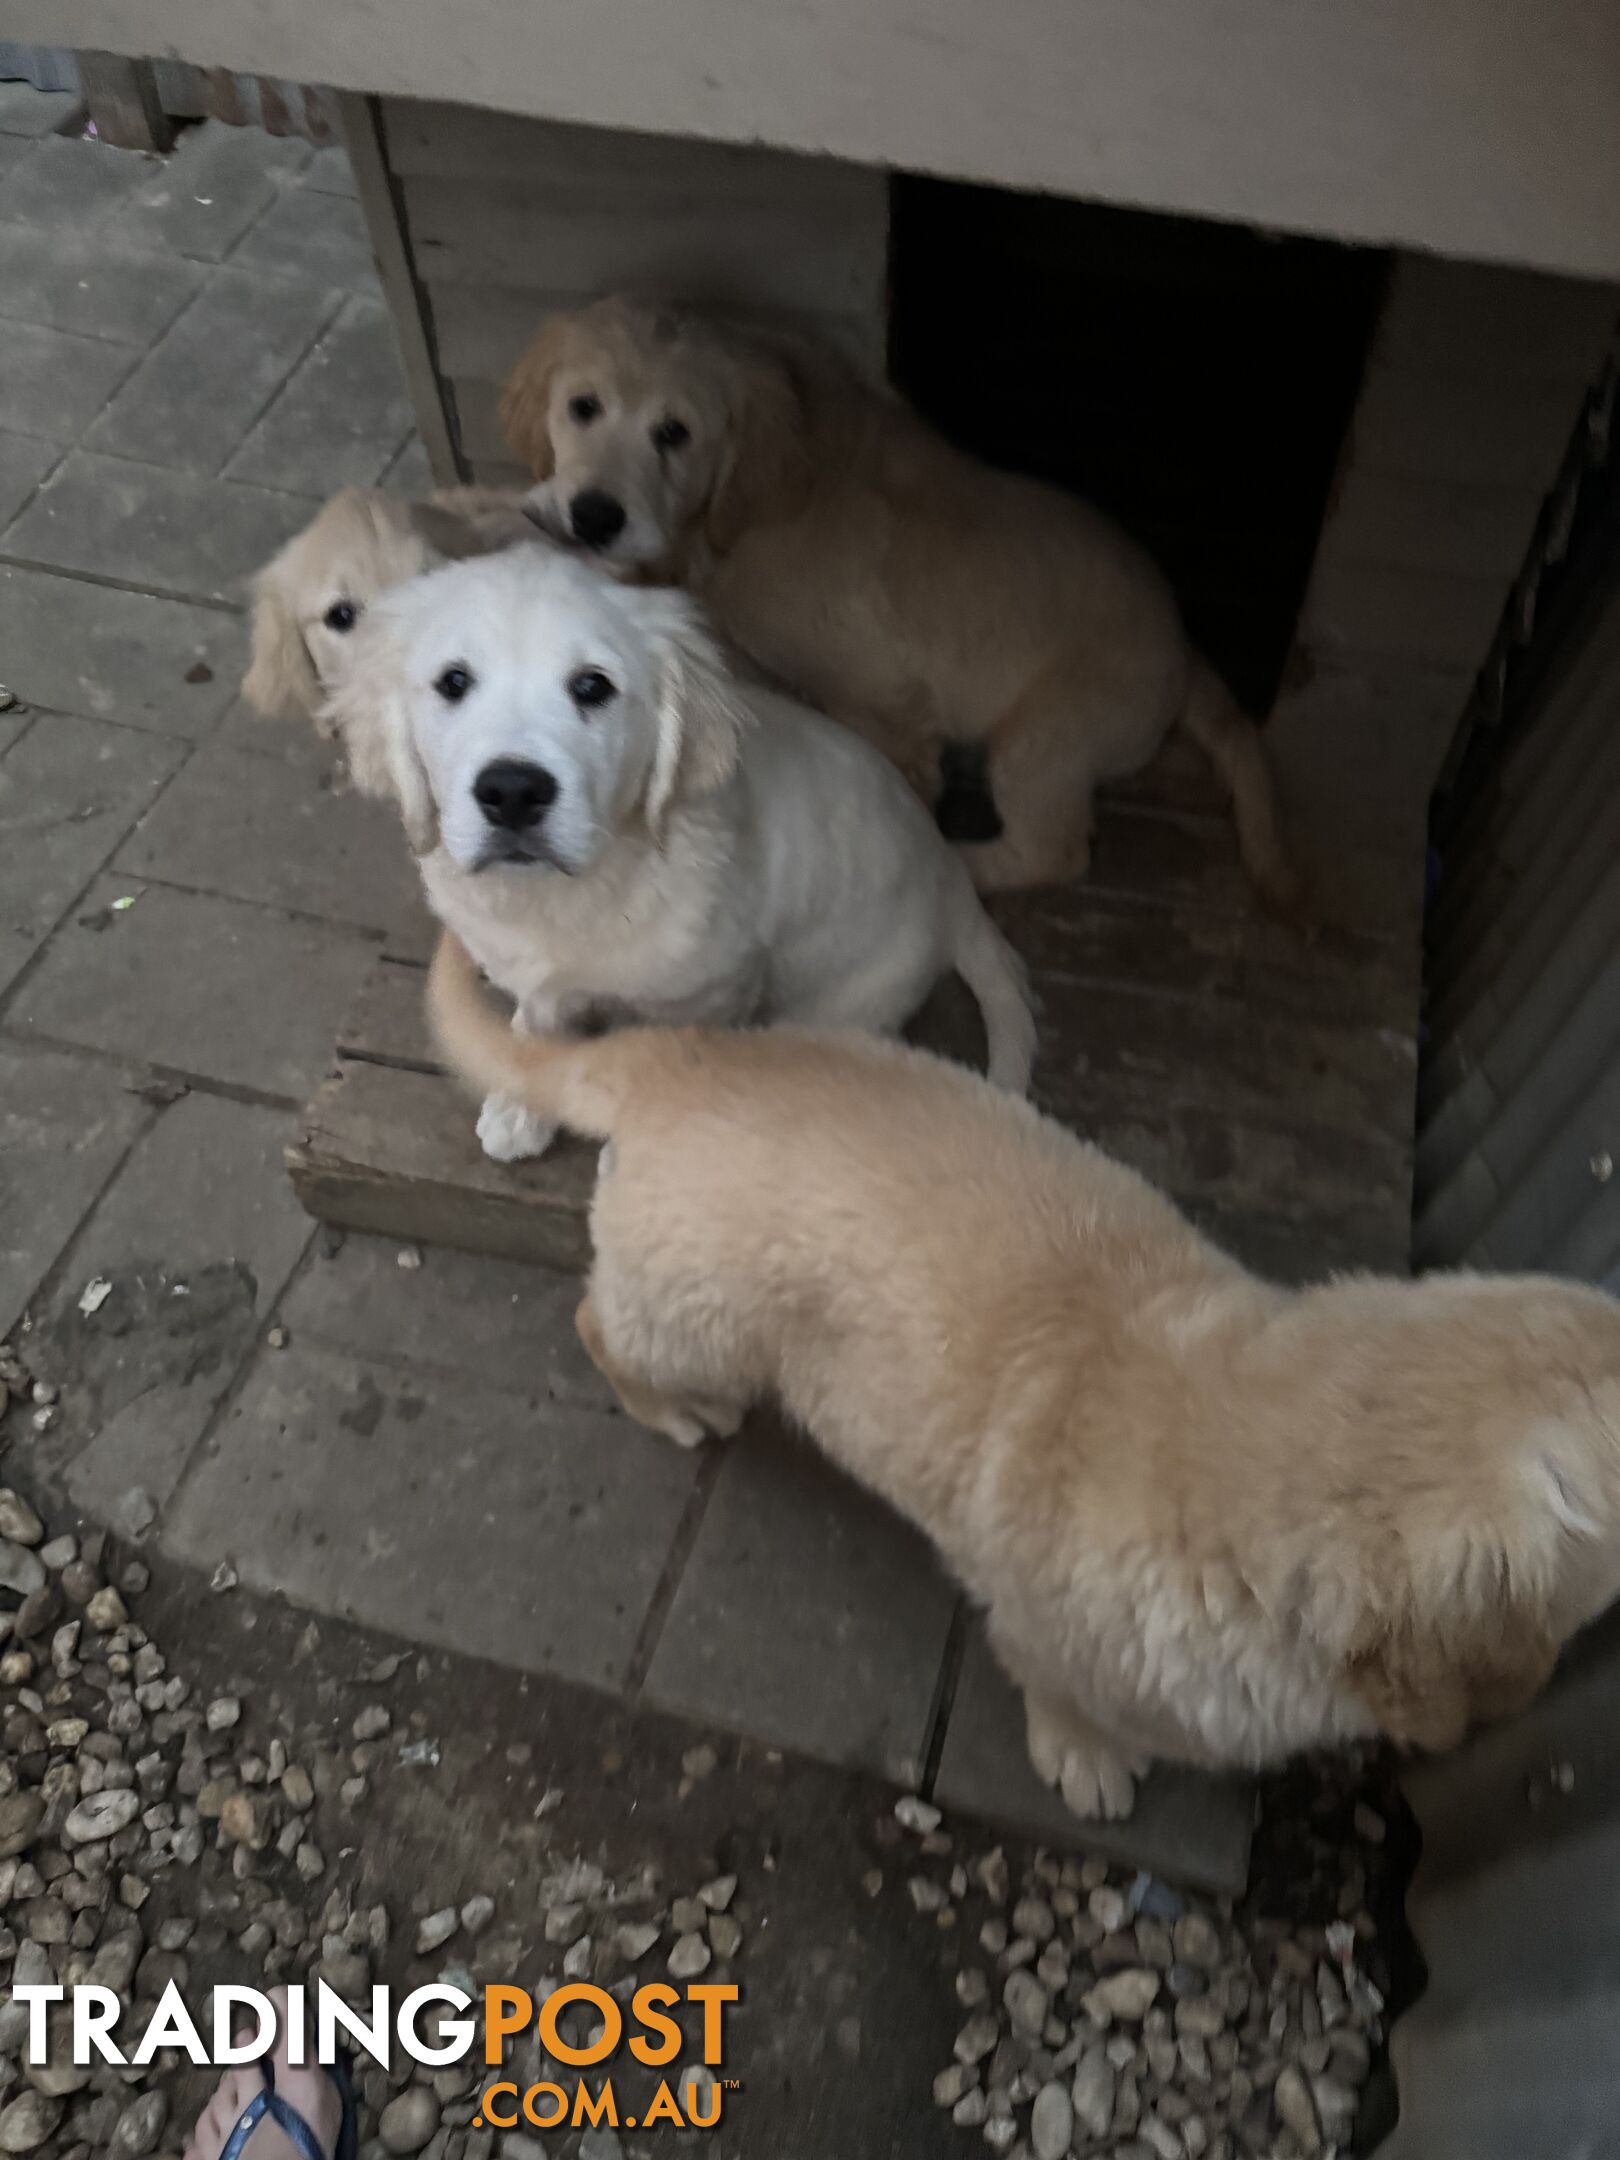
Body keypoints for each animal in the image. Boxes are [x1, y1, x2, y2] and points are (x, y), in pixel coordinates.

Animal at [330, 548, 1041, 1175]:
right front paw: (520, 1100)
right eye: (453, 682)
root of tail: (951, 880)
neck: (575, 891)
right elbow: (538, 1021)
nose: (511, 792)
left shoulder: (717, 987)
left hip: (841, 1000)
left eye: (593, 686)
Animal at [427, 920, 1620, 1814]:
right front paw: (1087, 1759)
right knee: (596, 1320)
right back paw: (676, 1409)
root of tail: (678, 1055)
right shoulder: (1043, 1635)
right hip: (690, 1315)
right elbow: (1062, 1697)